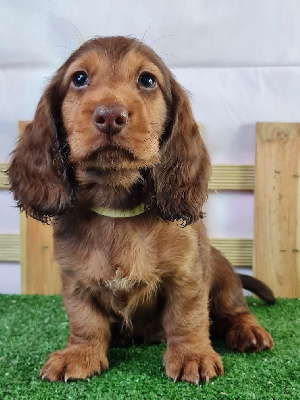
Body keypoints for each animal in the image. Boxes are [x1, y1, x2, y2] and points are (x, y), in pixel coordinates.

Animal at [8, 37, 274, 384]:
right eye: (79, 78)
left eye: (147, 80)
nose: (110, 115)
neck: (117, 208)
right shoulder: (75, 279)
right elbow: (85, 320)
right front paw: (79, 354)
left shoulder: (186, 274)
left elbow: (187, 316)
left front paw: (192, 355)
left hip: (223, 276)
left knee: (235, 310)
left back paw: (248, 330)